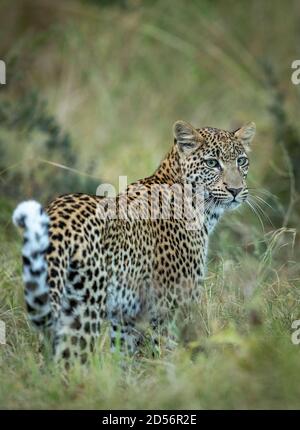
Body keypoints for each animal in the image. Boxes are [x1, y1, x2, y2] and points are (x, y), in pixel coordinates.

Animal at [12, 120, 255, 366]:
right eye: (212, 163)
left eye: (241, 161)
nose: (235, 190)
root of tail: (56, 217)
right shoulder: (171, 307)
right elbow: (168, 355)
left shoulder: (126, 317)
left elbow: (124, 359)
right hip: (84, 310)